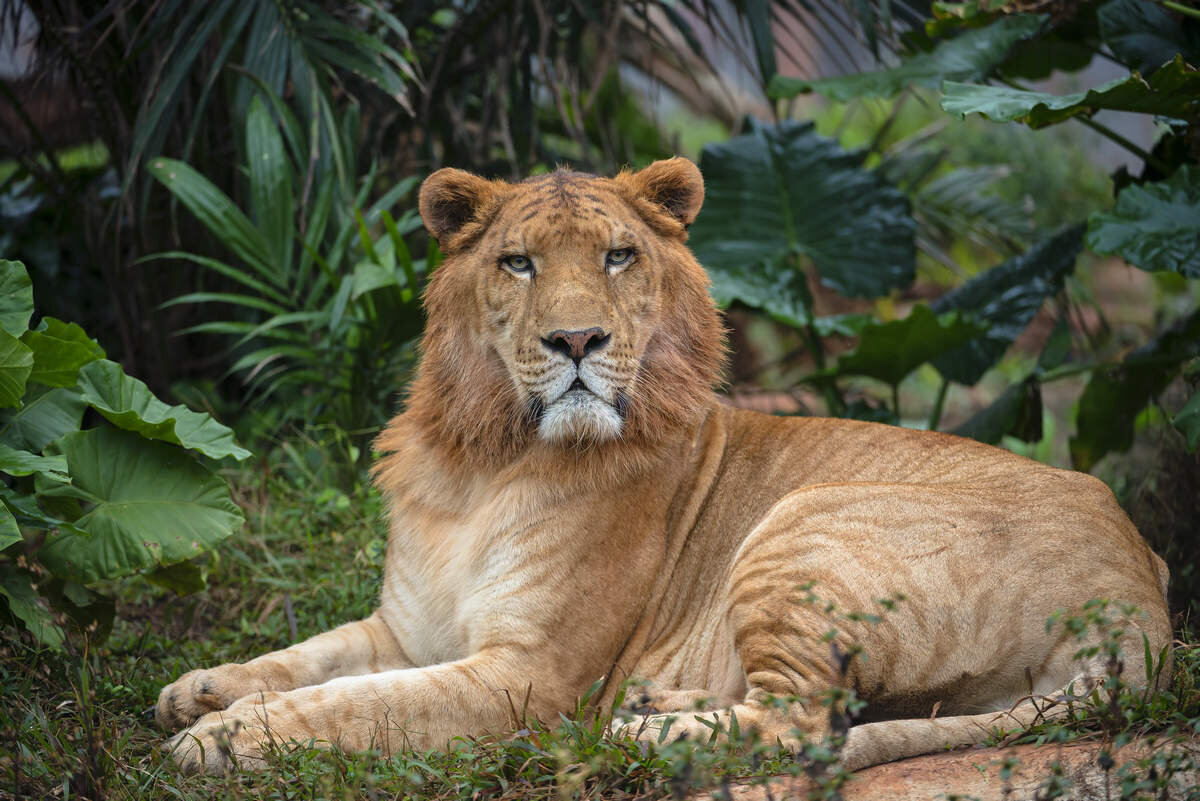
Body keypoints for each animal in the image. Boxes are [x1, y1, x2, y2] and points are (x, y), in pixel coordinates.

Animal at [154, 158, 1166, 777]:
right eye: (517, 263)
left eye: (617, 256)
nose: (576, 340)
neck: (483, 458)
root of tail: (1144, 602)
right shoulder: (408, 628)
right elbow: (313, 656)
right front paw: (201, 686)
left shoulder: (530, 678)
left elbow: (358, 705)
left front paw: (229, 735)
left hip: (806, 522)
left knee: (802, 722)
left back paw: (654, 728)